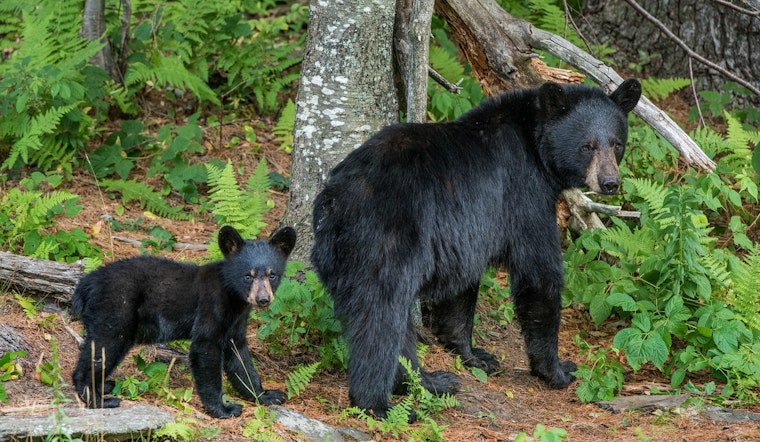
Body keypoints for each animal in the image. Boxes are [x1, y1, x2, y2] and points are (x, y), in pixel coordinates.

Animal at [71, 225, 296, 418]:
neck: (233, 298)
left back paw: (104, 386)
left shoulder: (236, 322)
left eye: (272, 275)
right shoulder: (210, 307)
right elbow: (205, 350)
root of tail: (87, 282)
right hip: (116, 308)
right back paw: (98, 399)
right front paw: (224, 409)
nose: (263, 299)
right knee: (103, 347)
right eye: (248, 276)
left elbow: (240, 358)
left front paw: (266, 395)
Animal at [311, 79, 642, 418]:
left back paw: (430, 380)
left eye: (616, 143)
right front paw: (557, 369)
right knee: (381, 316)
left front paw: (474, 354)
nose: (609, 182)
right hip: (387, 237)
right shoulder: (523, 195)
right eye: (587, 146)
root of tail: (336, 199)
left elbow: (461, 287)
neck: (534, 145)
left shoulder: (466, 231)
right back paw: (377, 403)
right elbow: (538, 274)